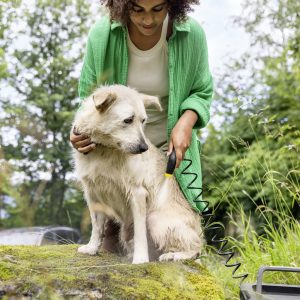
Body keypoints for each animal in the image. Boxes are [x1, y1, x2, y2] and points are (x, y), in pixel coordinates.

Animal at [73, 84, 204, 262]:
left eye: (143, 121)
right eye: (128, 120)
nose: (144, 148)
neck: (106, 150)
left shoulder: (138, 193)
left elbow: (140, 232)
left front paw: (140, 259)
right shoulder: (93, 193)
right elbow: (97, 227)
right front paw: (92, 248)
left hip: (155, 219)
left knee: (196, 248)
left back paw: (175, 255)